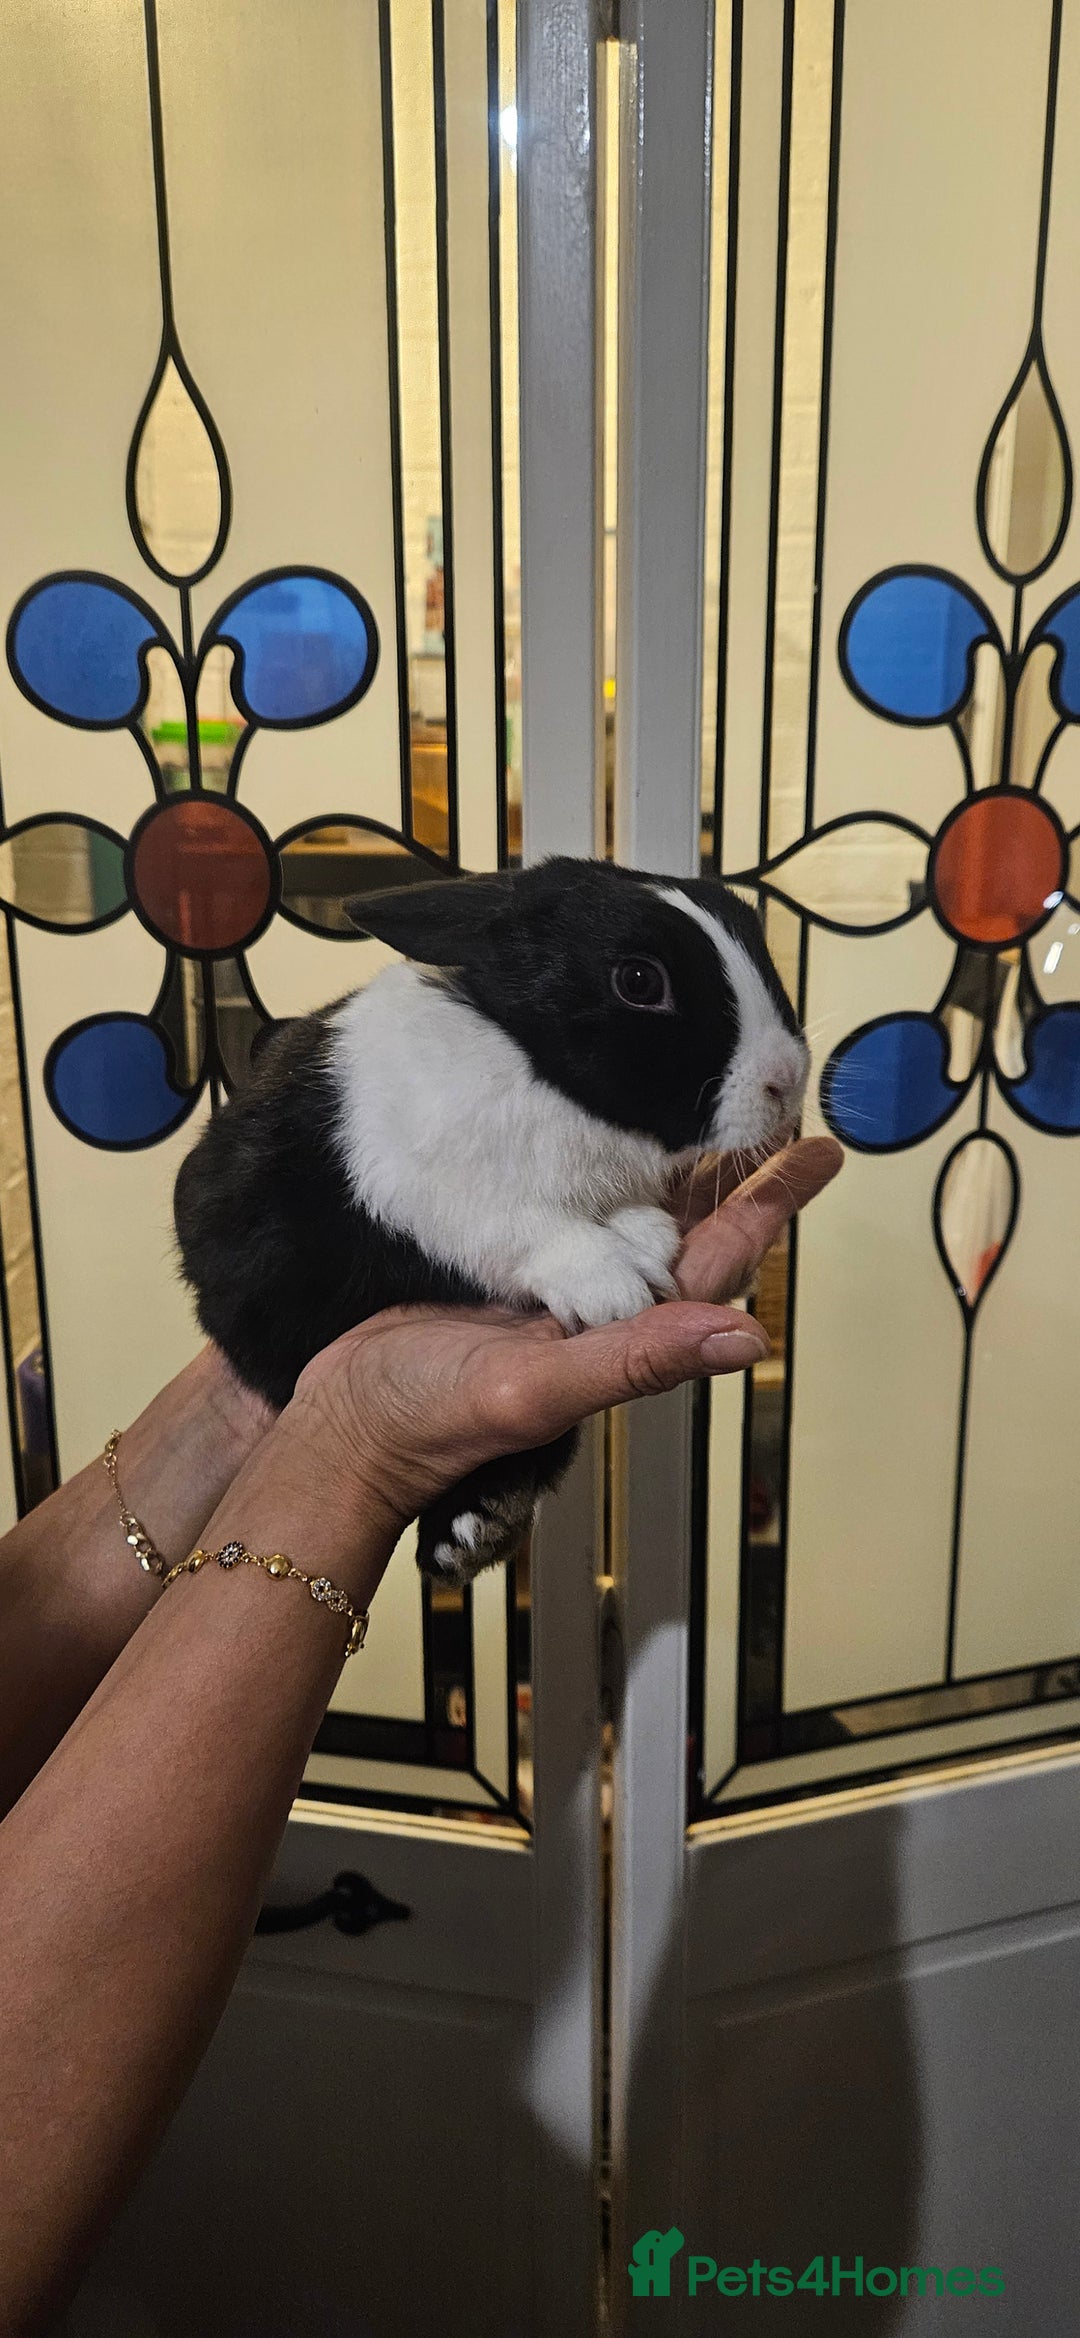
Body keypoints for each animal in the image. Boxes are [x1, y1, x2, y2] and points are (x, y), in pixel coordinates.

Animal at [173, 855, 808, 1585]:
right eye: (640, 981)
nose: (787, 1079)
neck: (539, 1071)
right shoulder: (446, 1193)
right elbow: (535, 1234)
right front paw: (617, 1289)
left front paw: (648, 1239)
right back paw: (466, 1534)